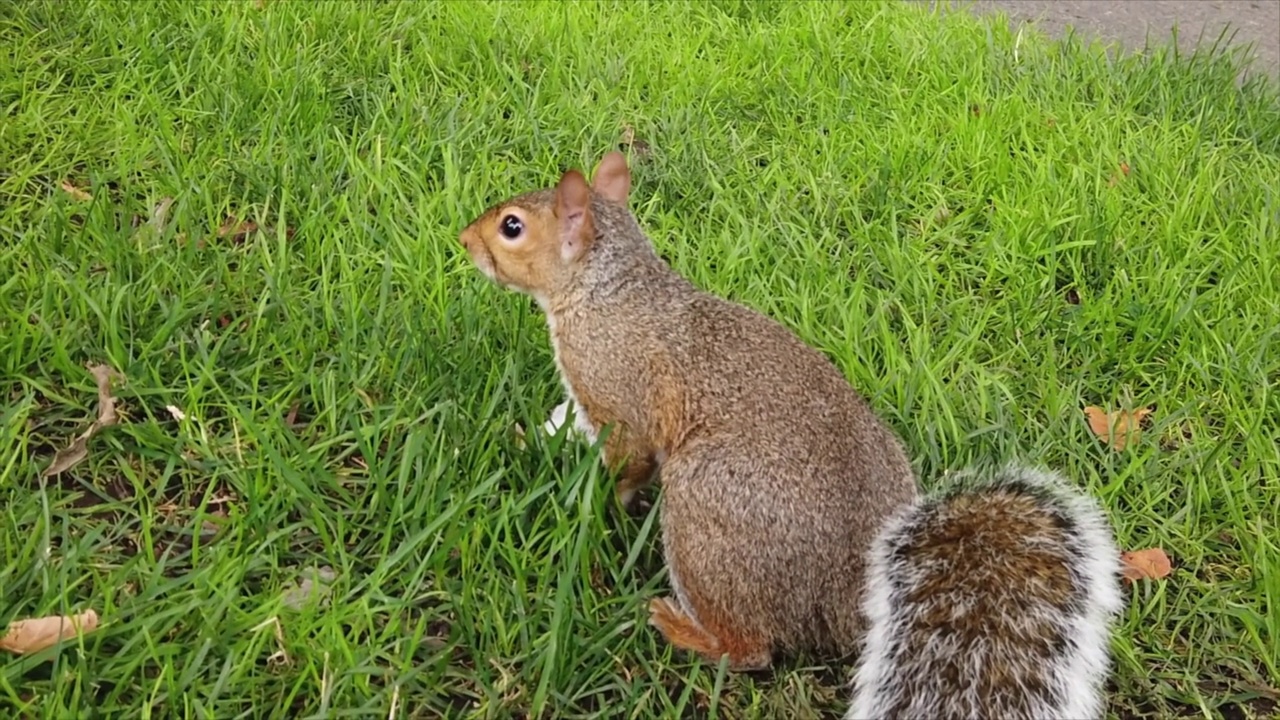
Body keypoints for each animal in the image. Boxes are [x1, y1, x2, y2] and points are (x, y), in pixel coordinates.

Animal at [458, 151, 1121, 712]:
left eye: (512, 227)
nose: (464, 239)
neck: (605, 291)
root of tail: (853, 596)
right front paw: (529, 438)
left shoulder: (619, 393)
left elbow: (627, 461)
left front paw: (601, 501)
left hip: (706, 511)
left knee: (752, 649)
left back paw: (681, 628)